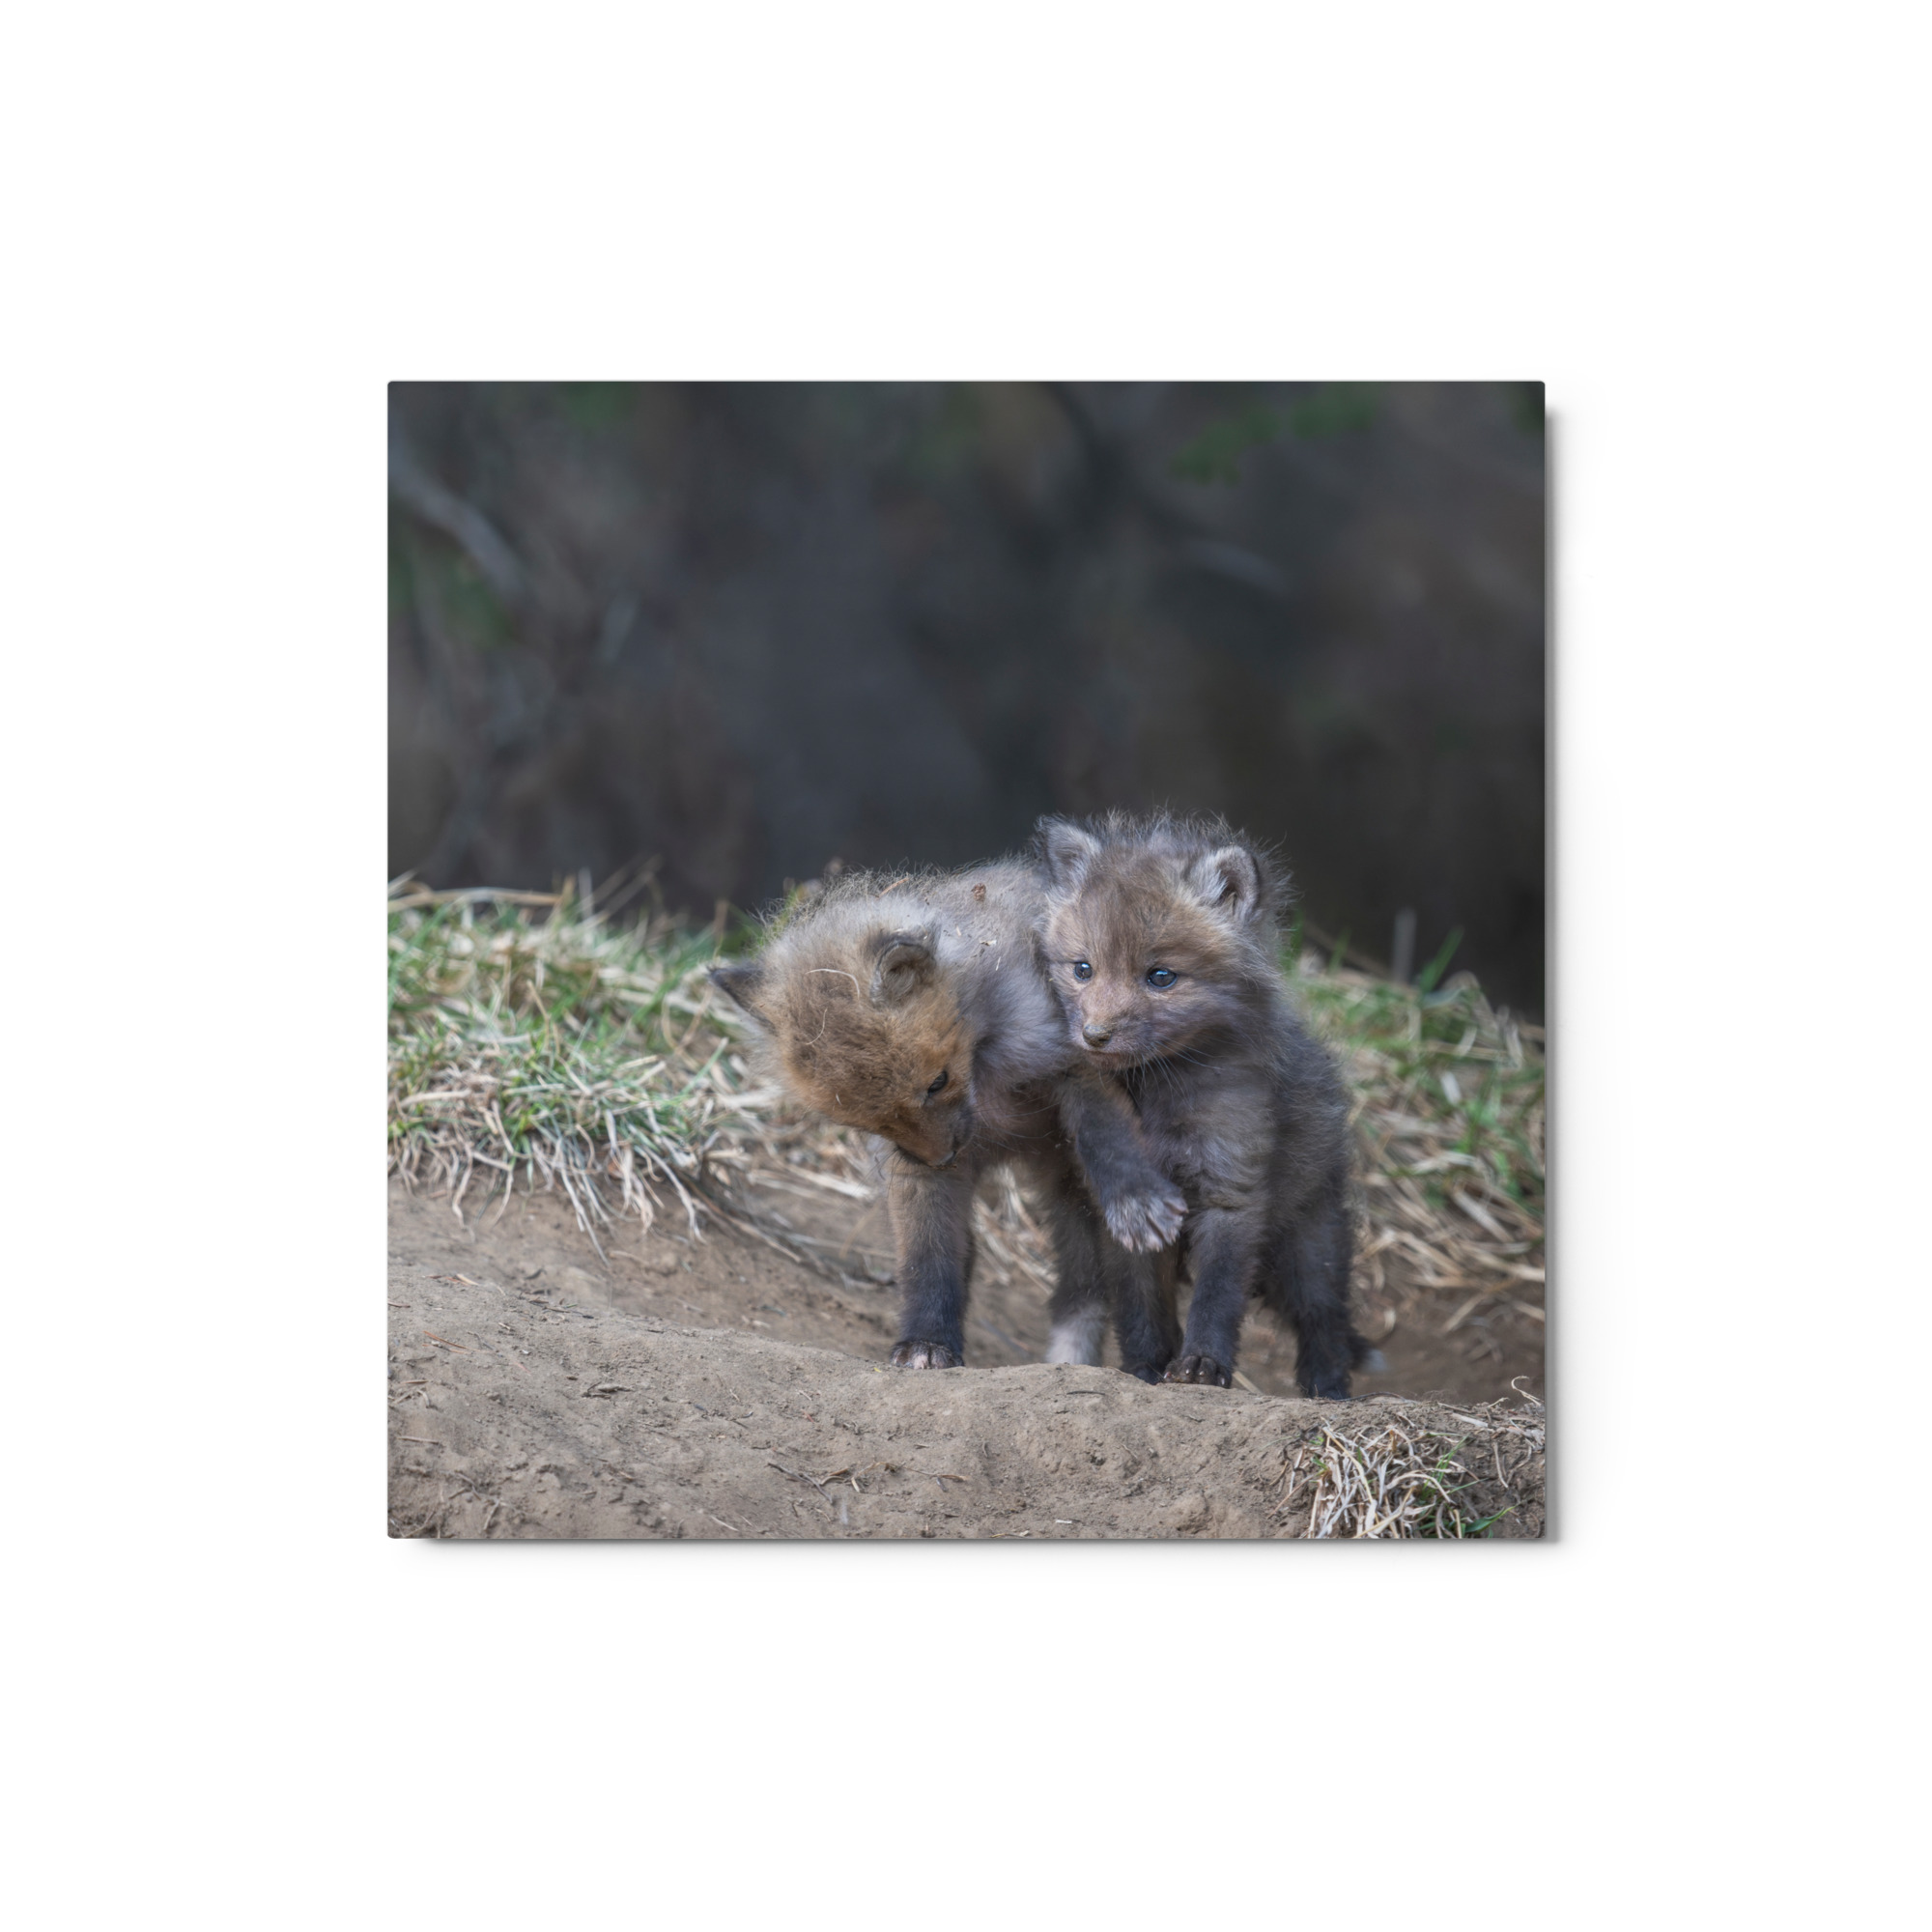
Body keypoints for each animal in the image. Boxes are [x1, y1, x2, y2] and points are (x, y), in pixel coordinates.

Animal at [707, 860, 1188, 1377]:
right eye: (867, 1121)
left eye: (937, 1082)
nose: (943, 1157)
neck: (987, 1074)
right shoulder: (911, 1168)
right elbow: (928, 1258)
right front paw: (927, 1342)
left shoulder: (1076, 1060)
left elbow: (1107, 1136)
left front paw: (1135, 1198)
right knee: (1078, 1288)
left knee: (1130, 1290)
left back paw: (1149, 1366)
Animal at [1035, 812, 1374, 1398]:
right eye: (1082, 969)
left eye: (1161, 977)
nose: (1094, 1036)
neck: (1157, 1097)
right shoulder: (1128, 1213)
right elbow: (1140, 1307)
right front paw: (1145, 1369)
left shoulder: (1231, 1189)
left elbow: (1217, 1296)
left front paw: (1202, 1366)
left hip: (1310, 1243)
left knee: (1324, 1320)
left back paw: (1328, 1393)